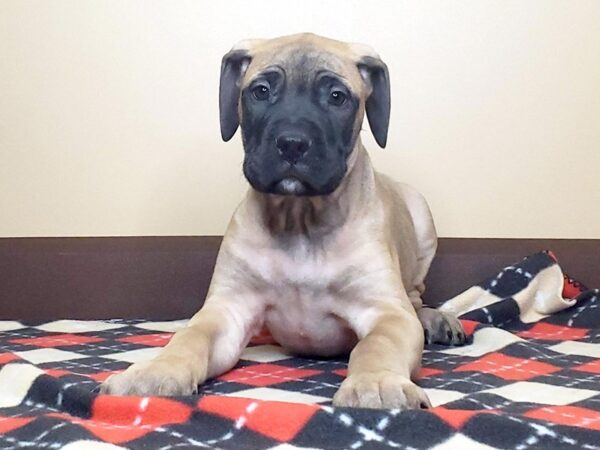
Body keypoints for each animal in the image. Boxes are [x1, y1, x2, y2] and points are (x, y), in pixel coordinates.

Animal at [103, 33, 466, 410]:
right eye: (261, 91)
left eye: (337, 97)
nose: (292, 143)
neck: (300, 221)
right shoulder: (227, 310)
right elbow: (190, 337)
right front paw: (157, 371)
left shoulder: (386, 313)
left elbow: (376, 345)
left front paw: (376, 382)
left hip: (421, 219)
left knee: (415, 299)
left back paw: (435, 319)